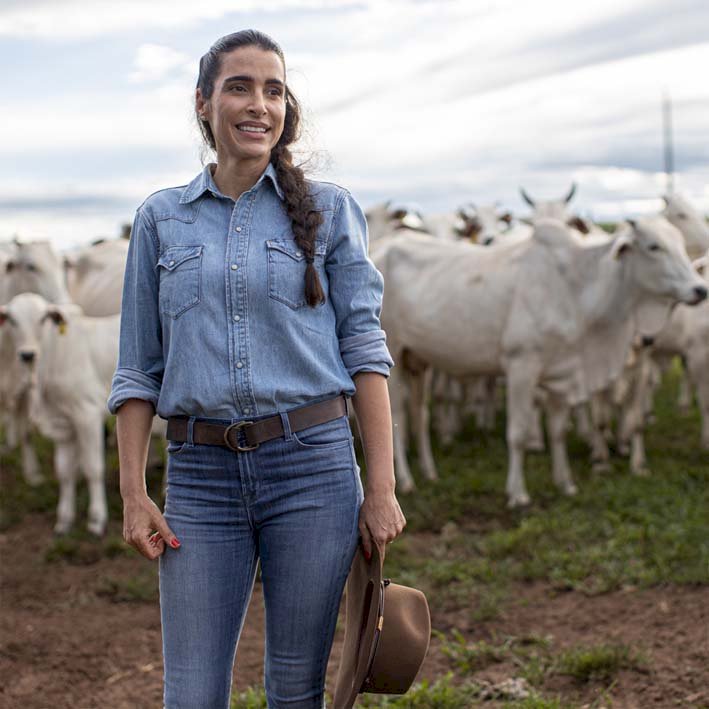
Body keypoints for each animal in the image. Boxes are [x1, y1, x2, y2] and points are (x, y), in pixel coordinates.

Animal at [0, 292, 119, 532]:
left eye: (43, 319)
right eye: (12, 320)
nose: (27, 354)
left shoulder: (87, 414)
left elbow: (93, 468)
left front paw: (97, 519)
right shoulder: (64, 424)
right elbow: (64, 472)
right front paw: (64, 519)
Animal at [374, 216, 704, 504]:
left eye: (679, 242)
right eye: (654, 246)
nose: (700, 289)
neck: (574, 287)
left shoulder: (562, 373)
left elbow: (557, 431)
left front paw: (565, 483)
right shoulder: (522, 366)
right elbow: (518, 433)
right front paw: (517, 493)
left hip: (418, 361)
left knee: (419, 414)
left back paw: (429, 471)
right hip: (395, 360)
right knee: (396, 418)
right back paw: (407, 480)